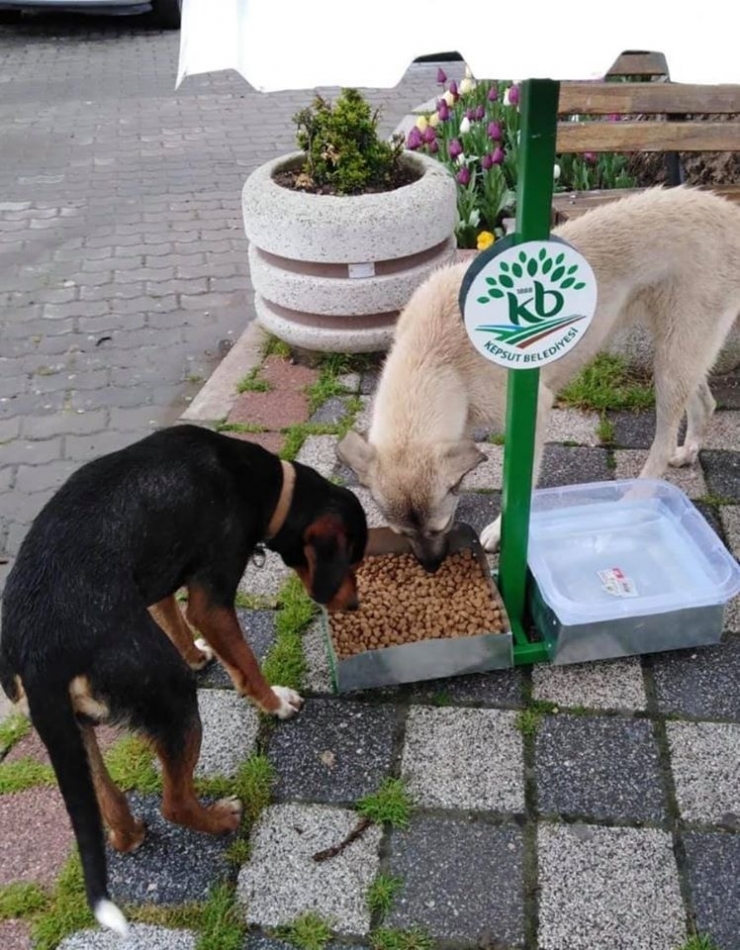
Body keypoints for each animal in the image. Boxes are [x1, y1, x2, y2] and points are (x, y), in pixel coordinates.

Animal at [0, 428, 368, 940]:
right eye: (352, 556)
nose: (354, 605)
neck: (258, 480)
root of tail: (37, 652)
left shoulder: (163, 580)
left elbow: (171, 616)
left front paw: (196, 655)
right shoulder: (211, 601)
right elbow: (246, 664)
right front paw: (274, 701)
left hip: (74, 732)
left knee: (108, 801)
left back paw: (131, 833)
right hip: (173, 702)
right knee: (173, 801)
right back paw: (221, 819)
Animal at [338, 190, 740, 568]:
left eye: (437, 530)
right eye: (401, 534)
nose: (432, 567)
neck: (432, 358)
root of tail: (729, 211)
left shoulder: (534, 413)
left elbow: (519, 486)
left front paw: (502, 531)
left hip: (673, 360)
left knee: (663, 440)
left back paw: (638, 495)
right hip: (681, 355)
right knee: (705, 403)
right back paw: (688, 451)